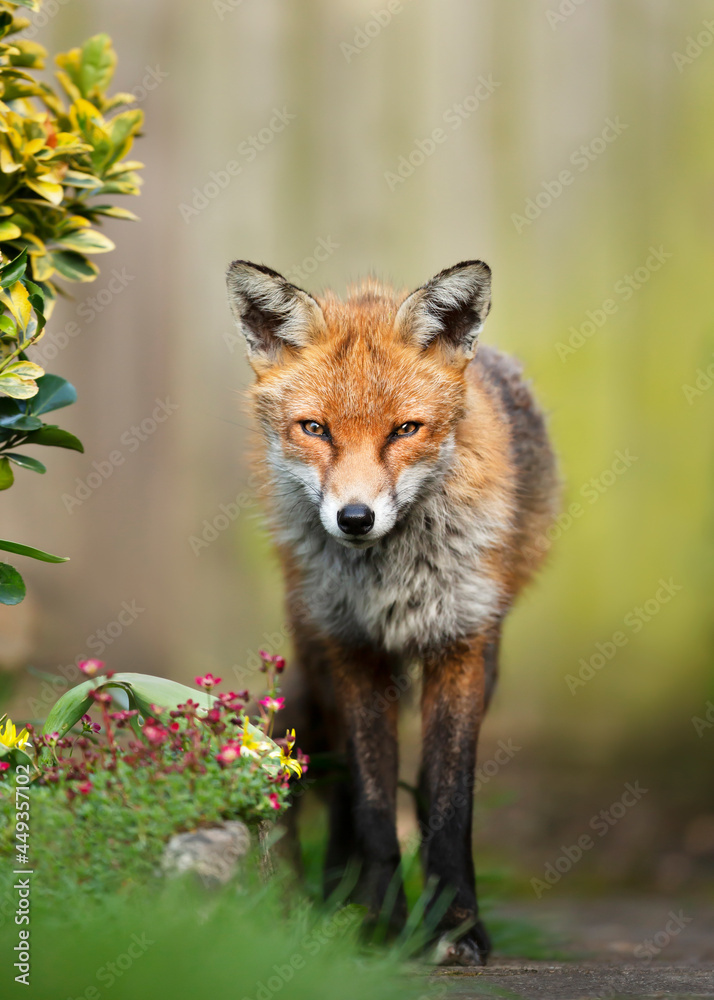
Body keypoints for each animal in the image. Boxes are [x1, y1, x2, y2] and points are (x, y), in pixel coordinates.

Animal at [222, 258, 556, 960]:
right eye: (315, 429)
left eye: (405, 430)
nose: (355, 518)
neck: (392, 580)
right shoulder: (353, 650)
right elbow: (372, 803)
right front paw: (378, 924)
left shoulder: (463, 646)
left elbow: (448, 803)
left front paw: (456, 926)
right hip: (317, 654)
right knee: (336, 779)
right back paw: (332, 895)